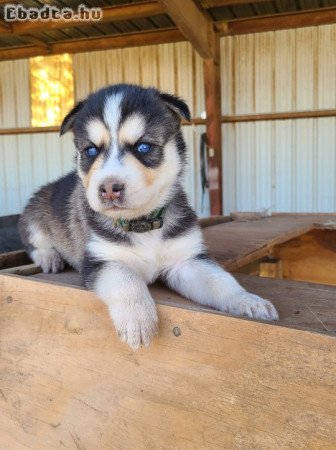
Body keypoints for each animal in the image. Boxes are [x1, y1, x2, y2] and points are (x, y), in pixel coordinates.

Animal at [19, 85, 280, 352]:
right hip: (35, 211)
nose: (109, 188)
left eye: (143, 147)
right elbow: (126, 278)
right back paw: (49, 257)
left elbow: (219, 280)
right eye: (90, 150)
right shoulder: (101, 259)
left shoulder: (185, 260)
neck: (141, 224)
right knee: (34, 241)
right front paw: (137, 320)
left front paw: (247, 300)